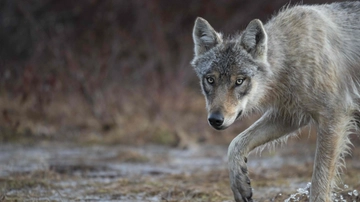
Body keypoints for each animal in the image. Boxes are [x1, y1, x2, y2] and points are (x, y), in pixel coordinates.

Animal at [190, 1, 360, 202]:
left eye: (239, 81)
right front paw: (240, 184)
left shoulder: (334, 117)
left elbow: (319, 184)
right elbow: (235, 144)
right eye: (210, 80)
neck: (291, 58)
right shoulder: (290, 116)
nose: (215, 119)